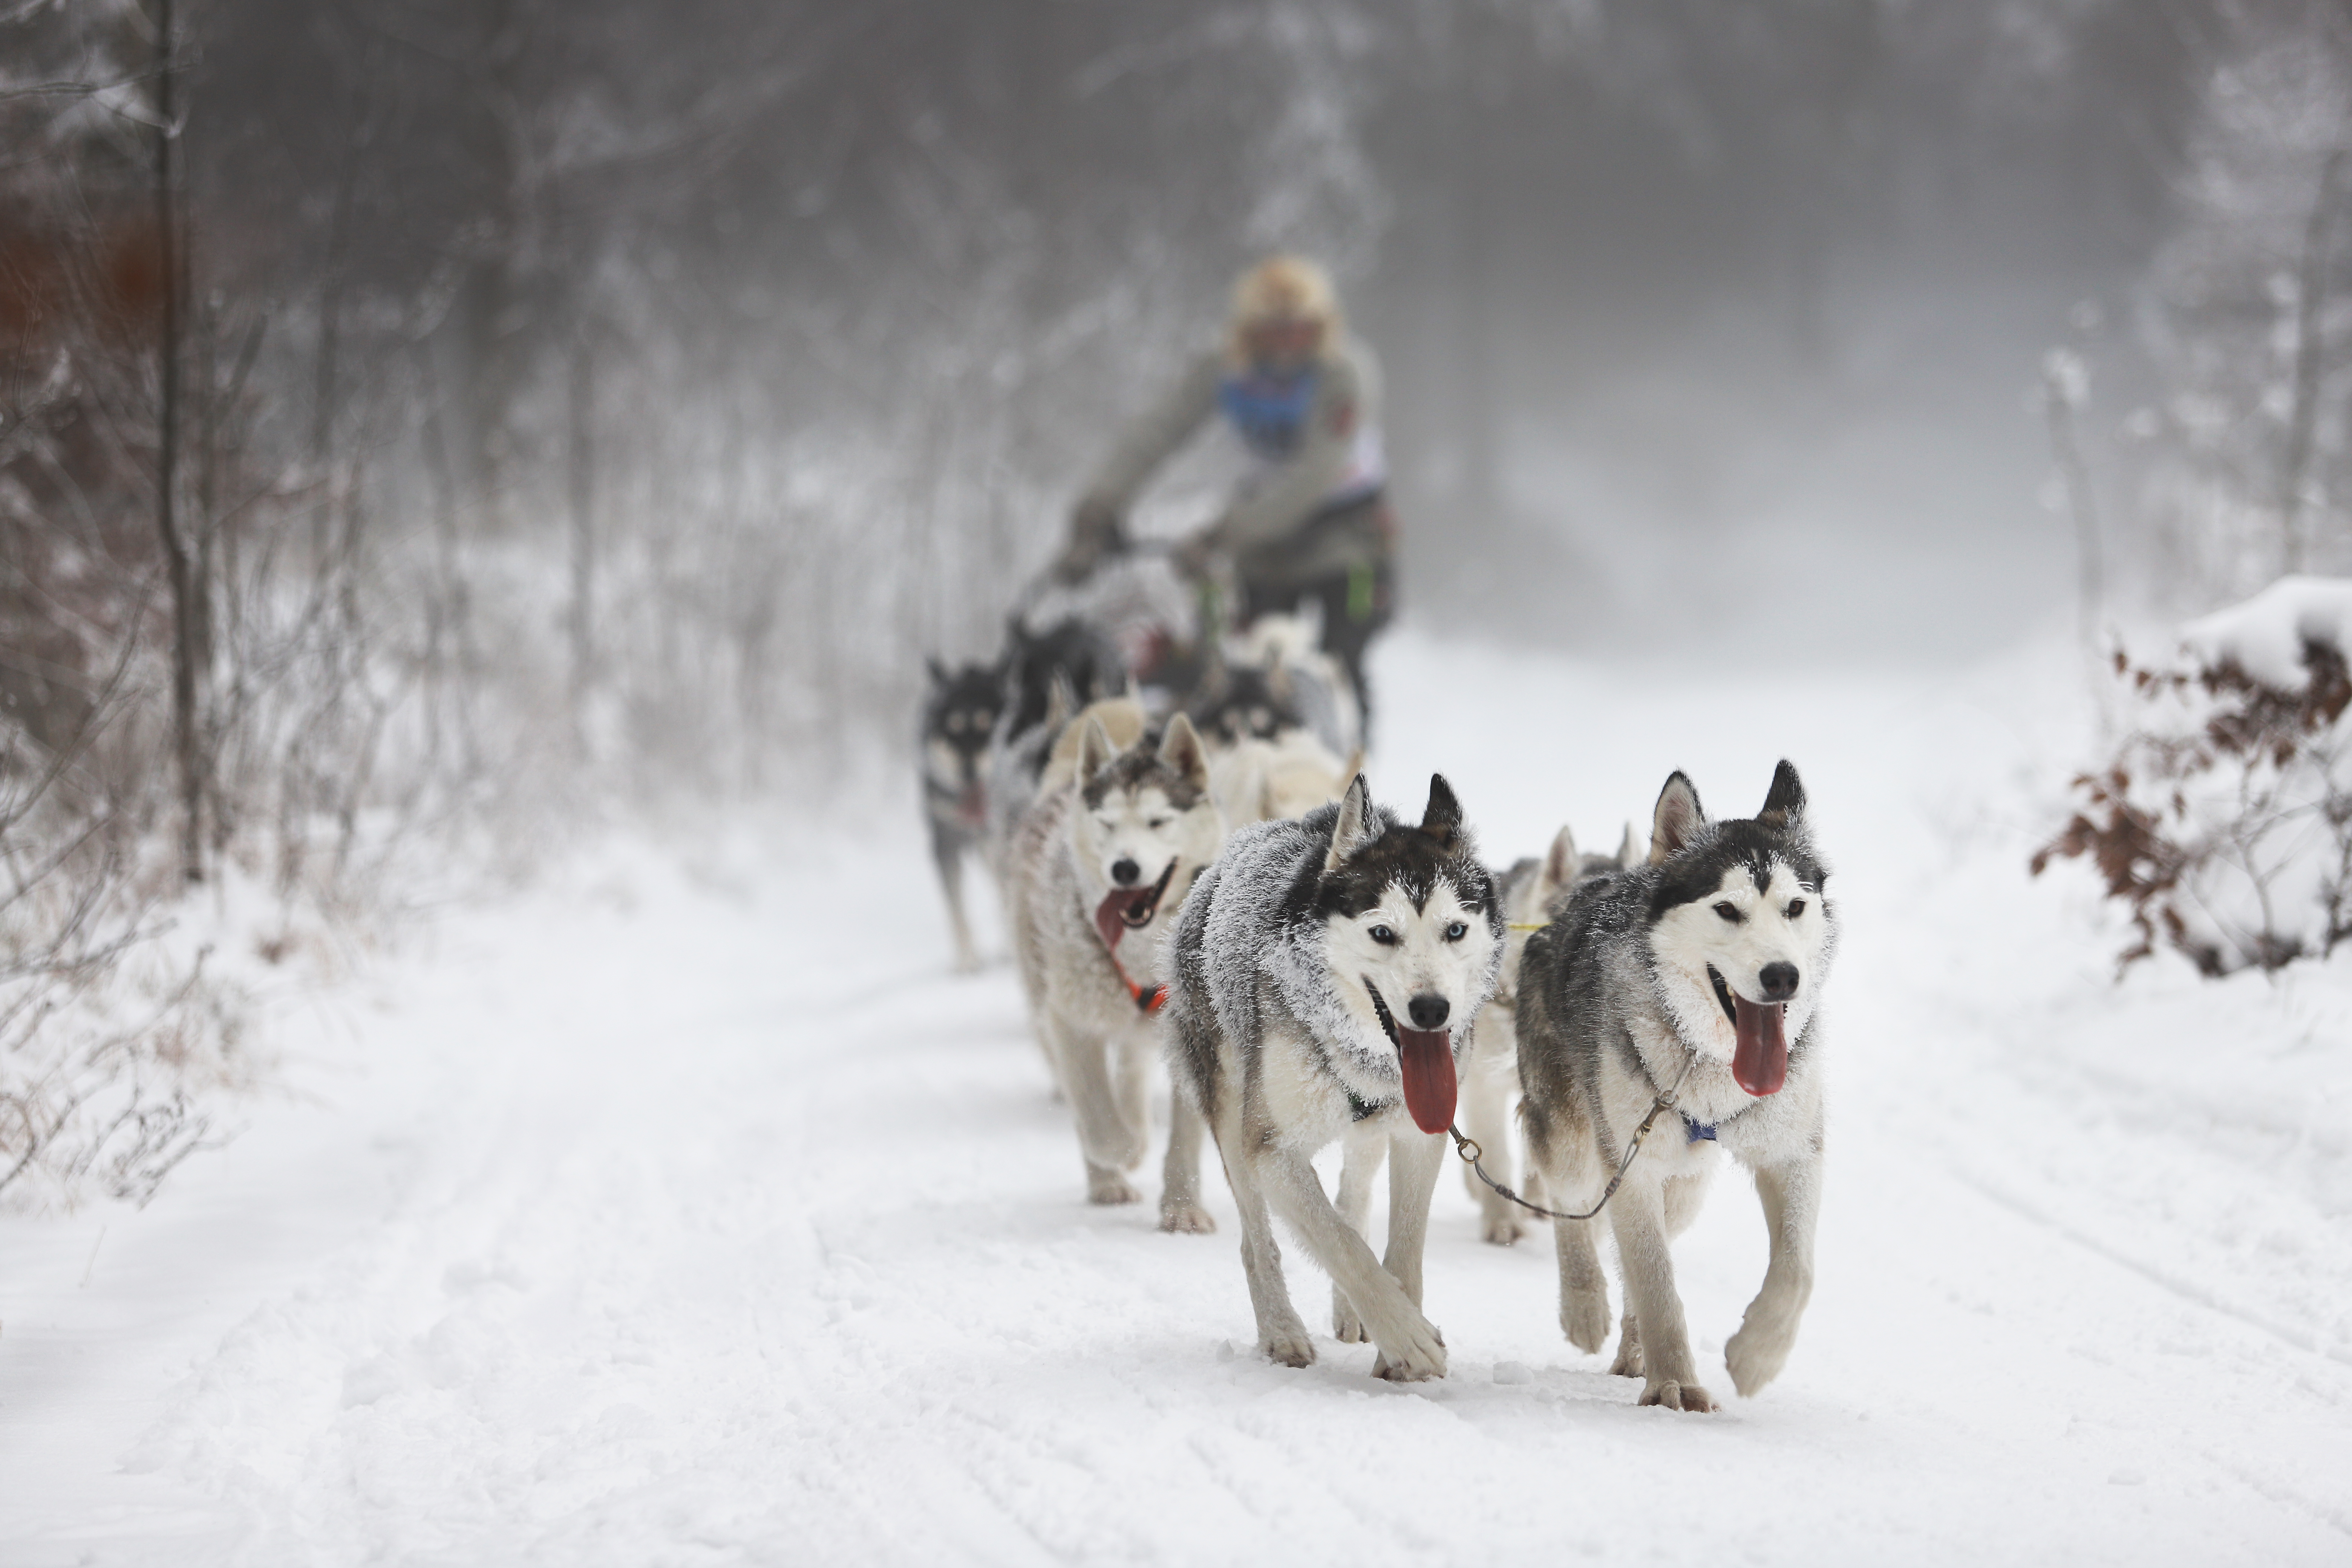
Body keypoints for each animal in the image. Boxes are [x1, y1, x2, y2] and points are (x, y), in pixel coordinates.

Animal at [917, 658, 1002, 973]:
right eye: (951, 731)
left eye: (987, 725)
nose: (968, 772)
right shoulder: (945, 840)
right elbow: (956, 907)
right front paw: (967, 960)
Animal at [1006, 710, 1232, 1213]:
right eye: (1107, 823)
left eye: (1158, 821)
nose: (1124, 868)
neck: (1142, 950)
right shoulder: (1070, 1023)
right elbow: (1099, 1117)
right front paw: (1126, 1153)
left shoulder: (1195, 1033)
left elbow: (1185, 1135)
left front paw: (1182, 1208)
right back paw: (1107, 1179)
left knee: (1130, 1068)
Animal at [1162, 780, 1505, 1382]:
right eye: (1383, 932)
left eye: (1455, 930)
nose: (1432, 1009)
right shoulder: (1271, 1151)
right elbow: (1342, 1246)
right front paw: (1409, 1337)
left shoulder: (1419, 1134)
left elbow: (1401, 1243)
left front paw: (1396, 1342)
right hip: (1229, 1113)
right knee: (1259, 1241)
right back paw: (1281, 1332)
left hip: (1370, 1130)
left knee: (1354, 1194)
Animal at [1514, 766, 1844, 1420]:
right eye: (1727, 910)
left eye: (1795, 907)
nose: (1783, 976)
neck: (1711, 1062)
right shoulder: (1633, 1165)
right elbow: (1655, 1279)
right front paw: (1676, 1386)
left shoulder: (1794, 1153)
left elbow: (1797, 1271)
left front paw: (1756, 1355)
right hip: (1574, 1136)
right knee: (1572, 1205)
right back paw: (1587, 1305)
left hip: (1689, 1184)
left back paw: (1634, 1347)